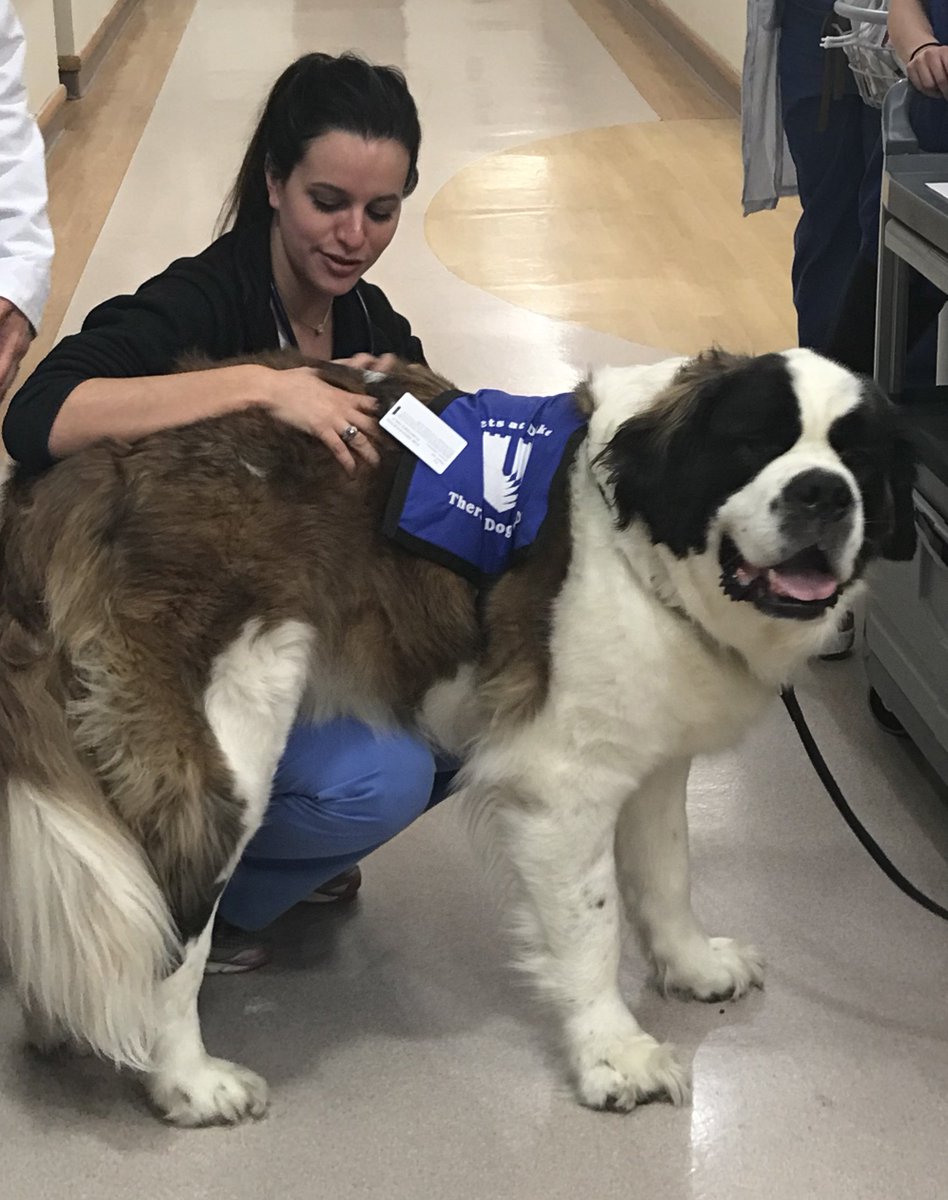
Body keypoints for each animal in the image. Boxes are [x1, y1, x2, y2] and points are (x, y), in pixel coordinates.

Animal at [0, 345, 921, 1123]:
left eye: (858, 459)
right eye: (753, 444)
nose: (821, 493)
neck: (641, 541)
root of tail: (86, 469)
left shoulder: (652, 756)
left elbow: (667, 872)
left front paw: (693, 967)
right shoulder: (563, 785)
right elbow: (592, 925)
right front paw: (614, 1054)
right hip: (226, 741)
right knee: (172, 922)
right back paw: (187, 1081)